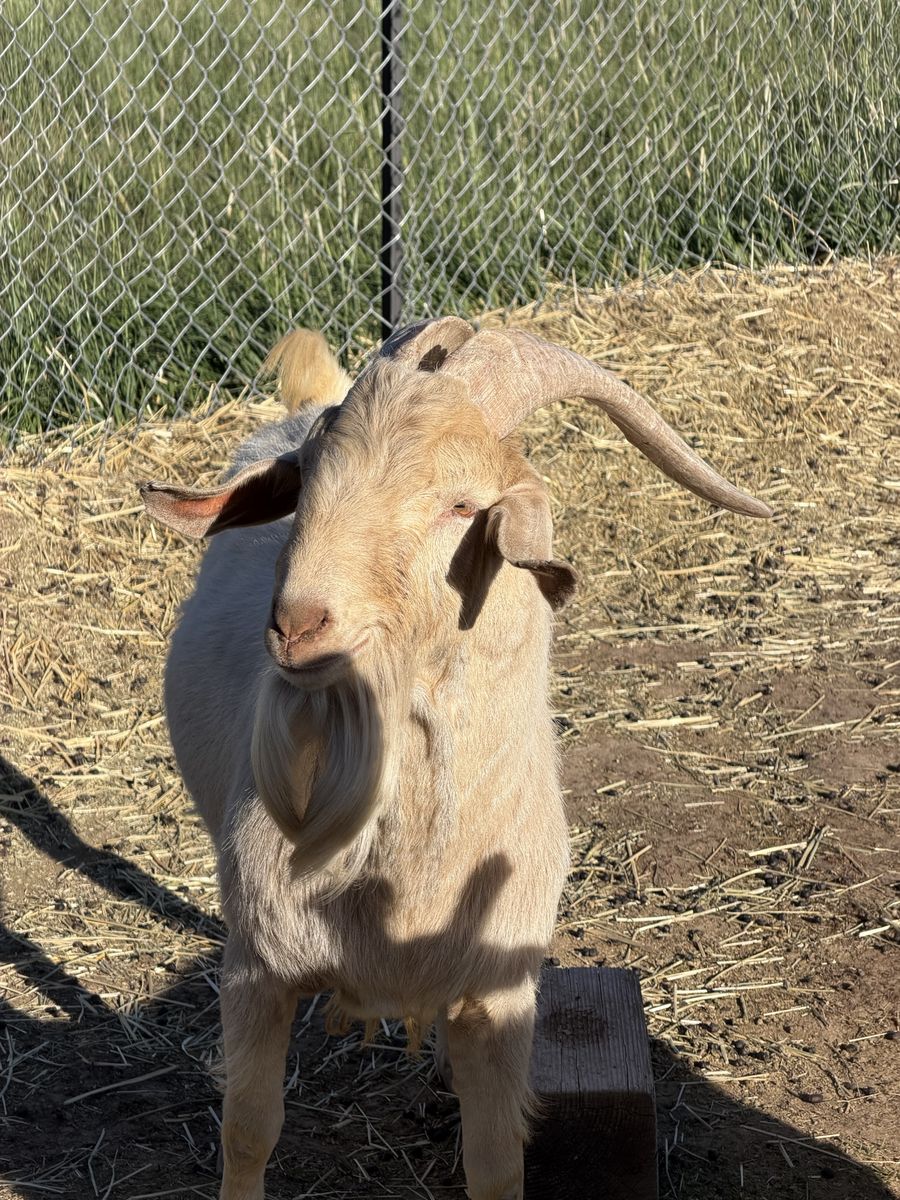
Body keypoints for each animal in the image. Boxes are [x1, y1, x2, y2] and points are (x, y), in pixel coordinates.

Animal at [140, 317, 771, 1200]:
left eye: (463, 504)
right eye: (305, 482)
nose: (298, 624)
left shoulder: (498, 994)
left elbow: (497, 1159)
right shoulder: (258, 966)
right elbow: (249, 1130)